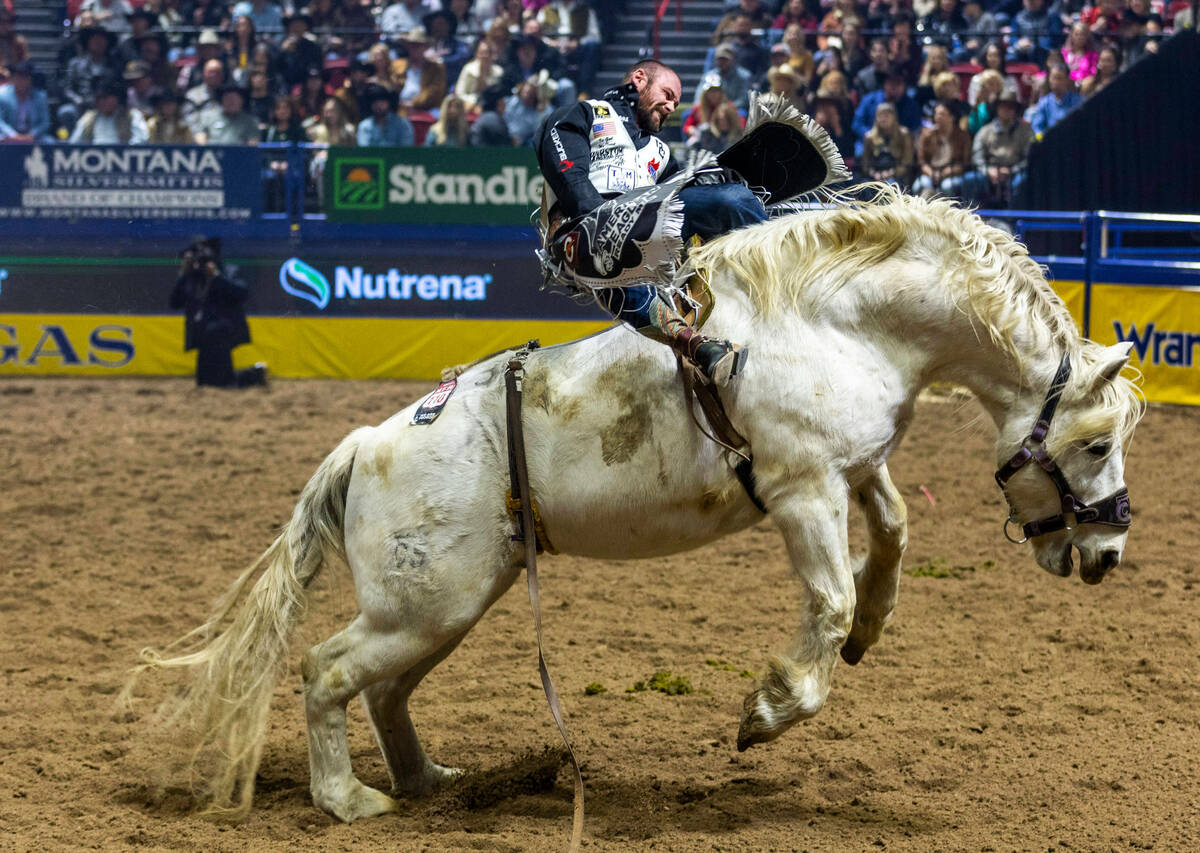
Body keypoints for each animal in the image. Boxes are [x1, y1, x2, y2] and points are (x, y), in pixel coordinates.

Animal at [131, 183, 1142, 825]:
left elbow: (893, 535)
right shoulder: (803, 489)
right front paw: (770, 708)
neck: (835, 317)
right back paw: (347, 800)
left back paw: (425, 780)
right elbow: (828, 598)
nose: (1108, 555)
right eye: (1096, 443)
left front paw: (867, 633)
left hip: (445, 606)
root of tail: (367, 443)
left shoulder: (855, 466)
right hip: (425, 606)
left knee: (382, 689)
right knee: (324, 671)